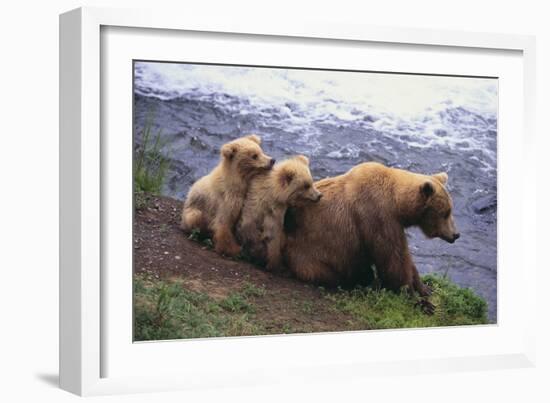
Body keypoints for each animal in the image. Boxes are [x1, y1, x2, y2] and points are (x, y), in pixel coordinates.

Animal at [284, 161, 462, 296]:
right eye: (446, 212)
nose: (456, 234)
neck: (396, 203)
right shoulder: (377, 215)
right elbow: (393, 258)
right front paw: (412, 294)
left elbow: (404, 256)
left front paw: (424, 288)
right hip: (311, 253)